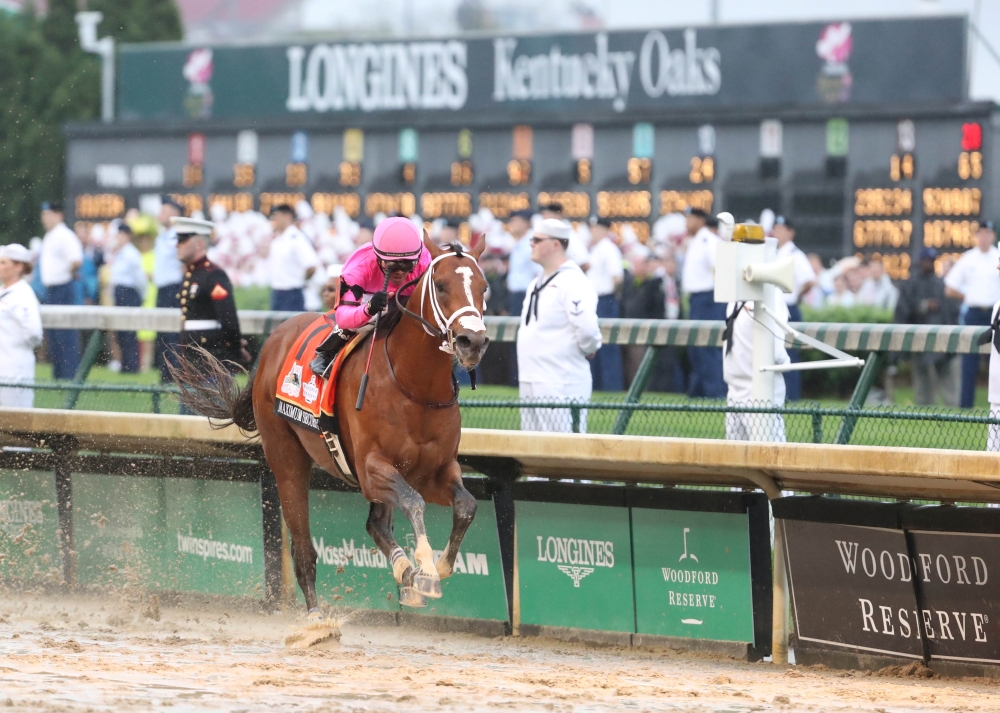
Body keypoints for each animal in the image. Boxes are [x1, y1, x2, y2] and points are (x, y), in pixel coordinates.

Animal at [173, 235, 492, 612]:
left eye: (484, 288)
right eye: (441, 286)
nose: (472, 342)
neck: (414, 386)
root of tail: (274, 340)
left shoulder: (436, 470)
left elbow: (466, 505)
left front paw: (436, 567)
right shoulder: (371, 469)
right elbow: (414, 502)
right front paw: (426, 570)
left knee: (376, 525)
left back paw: (403, 572)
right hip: (285, 457)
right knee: (303, 546)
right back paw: (316, 616)